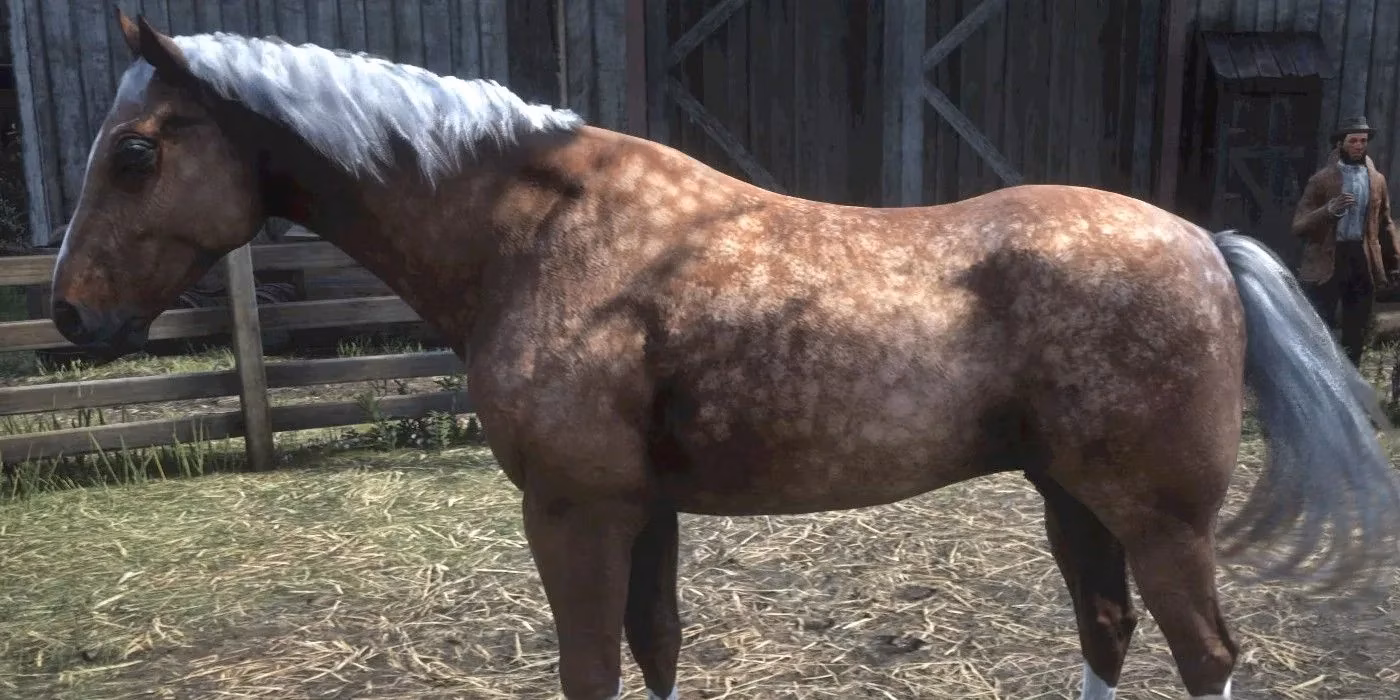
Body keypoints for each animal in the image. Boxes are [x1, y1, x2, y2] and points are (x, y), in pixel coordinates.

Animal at [50, 11, 1400, 700]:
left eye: (135, 151)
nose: (67, 313)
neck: (541, 236)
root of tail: (1200, 239)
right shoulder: (639, 509)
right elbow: (653, 649)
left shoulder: (575, 511)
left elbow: (592, 666)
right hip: (1071, 496)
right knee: (1108, 632)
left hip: (1154, 516)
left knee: (1201, 654)